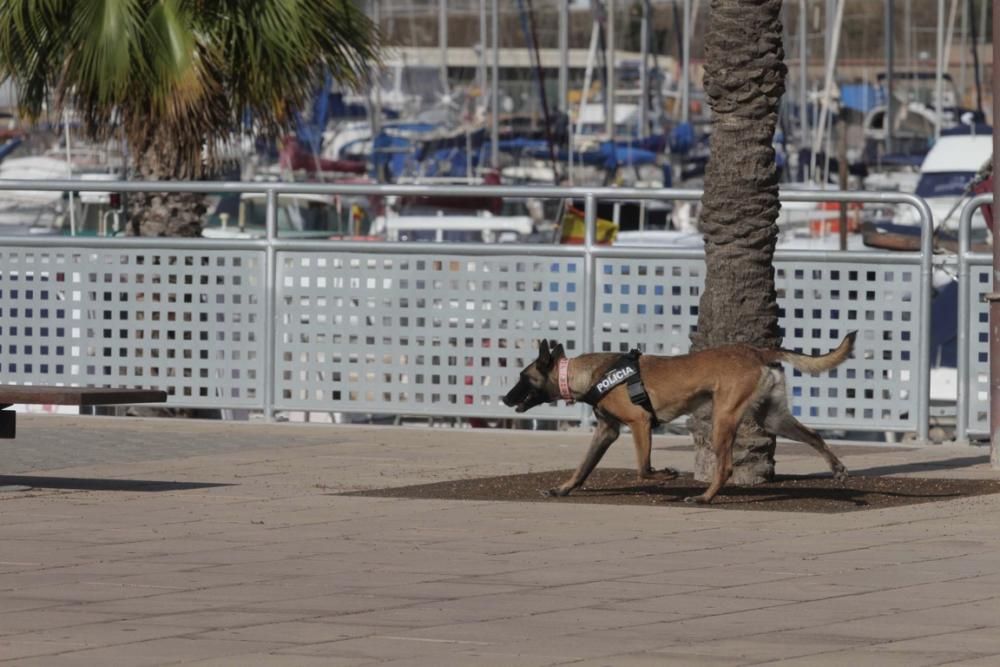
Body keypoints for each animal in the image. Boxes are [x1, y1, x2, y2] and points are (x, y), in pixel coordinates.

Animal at [504, 336, 856, 504]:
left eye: (522, 378)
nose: (505, 399)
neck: (588, 373)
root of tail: (757, 352)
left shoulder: (640, 423)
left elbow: (643, 469)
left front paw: (666, 474)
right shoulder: (606, 432)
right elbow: (582, 468)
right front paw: (562, 489)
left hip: (722, 420)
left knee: (725, 467)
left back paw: (704, 498)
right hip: (772, 418)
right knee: (815, 436)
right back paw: (837, 467)